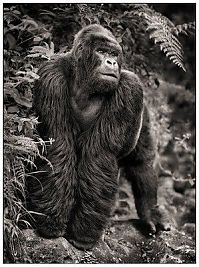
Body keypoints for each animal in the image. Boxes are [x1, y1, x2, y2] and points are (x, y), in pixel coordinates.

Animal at [28, 24, 170, 250]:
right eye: (101, 52)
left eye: (113, 54)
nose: (112, 62)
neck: (84, 83)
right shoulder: (51, 76)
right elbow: (58, 145)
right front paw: (51, 223)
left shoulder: (130, 88)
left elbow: (99, 156)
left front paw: (83, 235)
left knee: (142, 162)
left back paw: (150, 210)